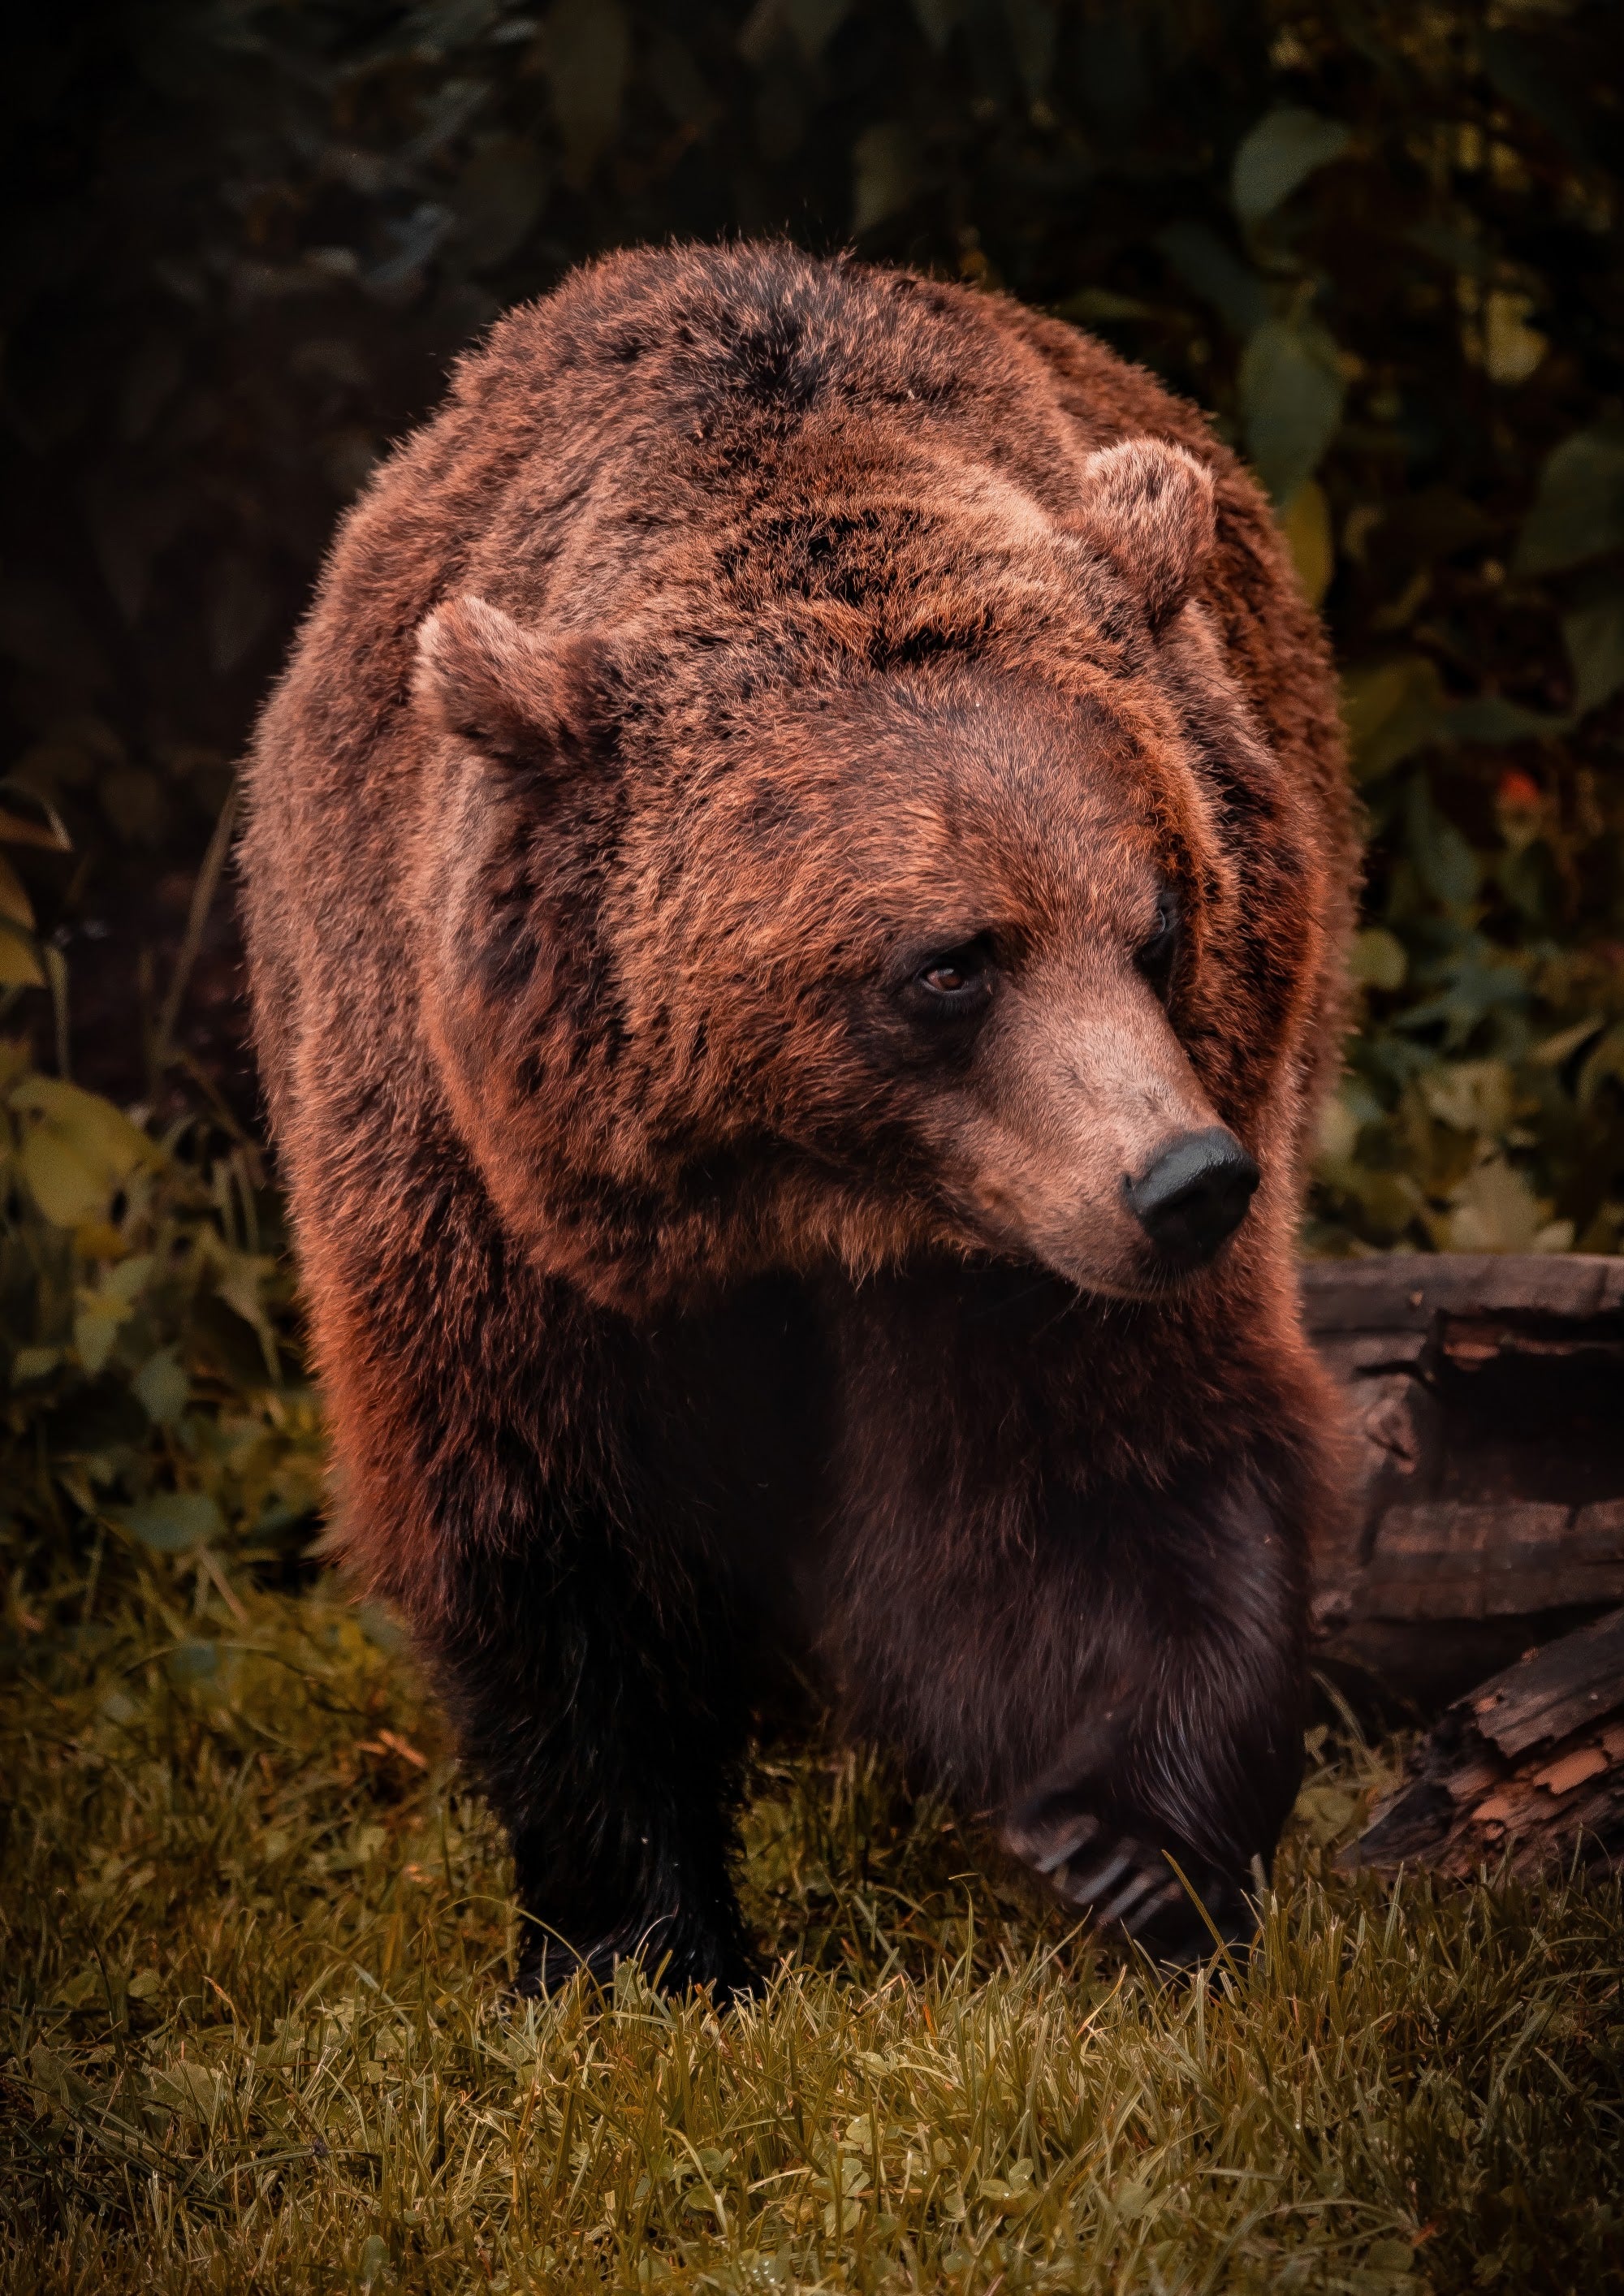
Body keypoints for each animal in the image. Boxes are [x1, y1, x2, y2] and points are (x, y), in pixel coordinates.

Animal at [240, 241, 1355, 1993]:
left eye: (1160, 918)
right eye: (951, 962)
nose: (1187, 1181)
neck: (808, 1195)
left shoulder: (1033, 1230)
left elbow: (1098, 1463)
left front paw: (1124, 1847)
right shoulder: (477, 1178)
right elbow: (554, 1519)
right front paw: (638, 1933)